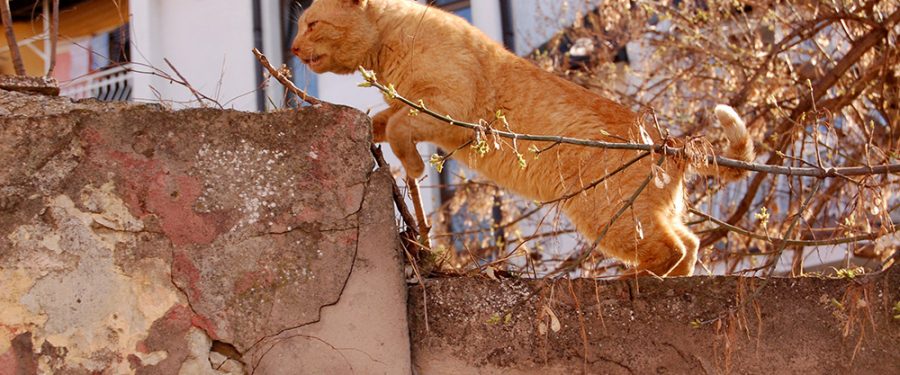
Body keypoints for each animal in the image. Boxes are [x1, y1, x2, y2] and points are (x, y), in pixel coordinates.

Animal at [294, 0, 752, 276]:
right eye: (298, 28)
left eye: (312, 25)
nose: (295, 48)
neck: (387, 43)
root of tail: (668, 143)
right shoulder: (413, 106)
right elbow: (382, 121)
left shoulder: (446, 107)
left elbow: (400, 128)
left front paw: (413, 164)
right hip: (646, 214)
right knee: (690, 243)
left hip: (611, 217)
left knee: (671, 250)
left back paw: (633, 279)